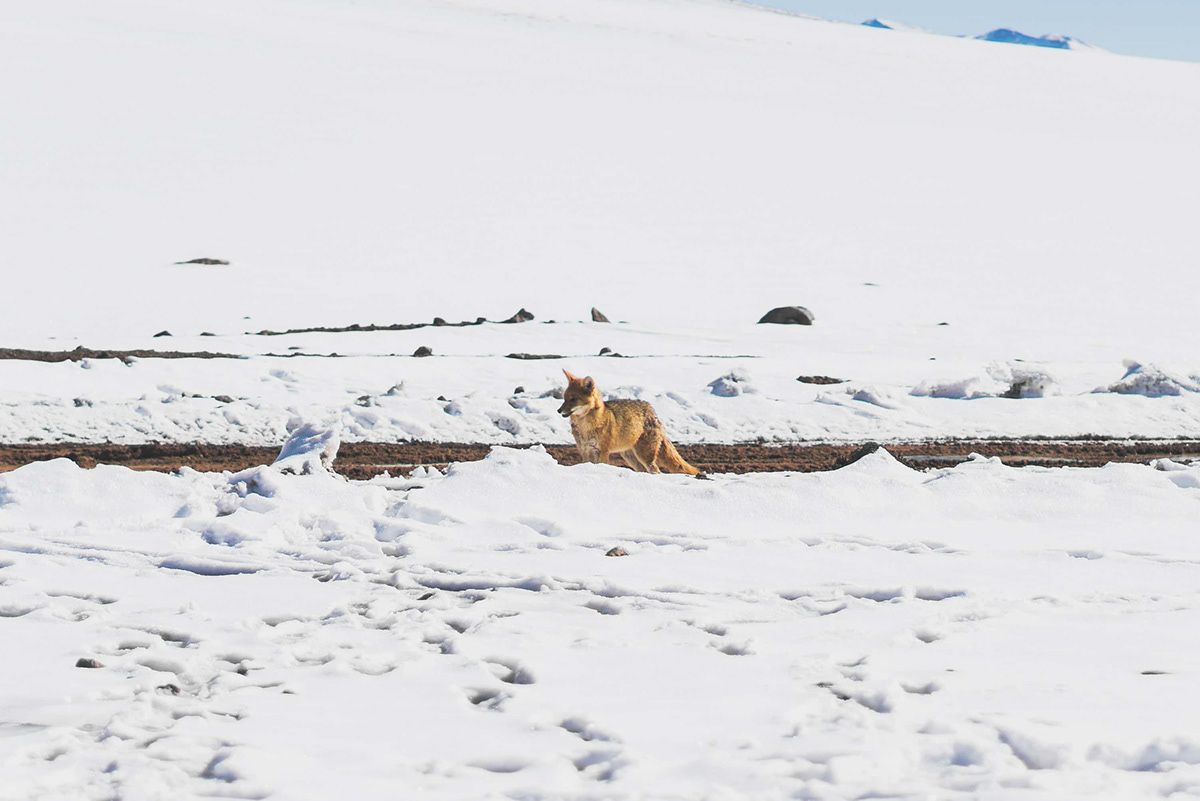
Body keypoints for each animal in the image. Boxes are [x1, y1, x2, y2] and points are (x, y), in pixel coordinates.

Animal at [557, 370, 701, 475]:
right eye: (564, 398)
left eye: (573, 399)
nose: (558, 410)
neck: (586, 427)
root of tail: (651, 410)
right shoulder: (585, 451)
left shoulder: (603, 452)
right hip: (630, 458)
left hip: (644, 456)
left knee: (656, 470)